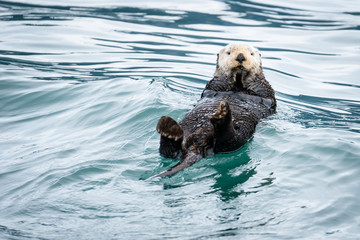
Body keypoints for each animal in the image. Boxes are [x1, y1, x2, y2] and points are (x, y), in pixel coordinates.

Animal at [149, 42, 276, 178]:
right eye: (229, 53)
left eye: (251, 54)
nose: (241, 57)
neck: (237, 86)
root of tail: (199, 142)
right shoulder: (215, 85)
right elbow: (217, 85)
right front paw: (236, 74)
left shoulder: (264, 90)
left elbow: (261, 92)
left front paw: (242, 75)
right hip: (187, 130)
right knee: (169, 152)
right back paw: (169, 128)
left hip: (242, 133)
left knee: (228, 141)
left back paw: (221, 117)